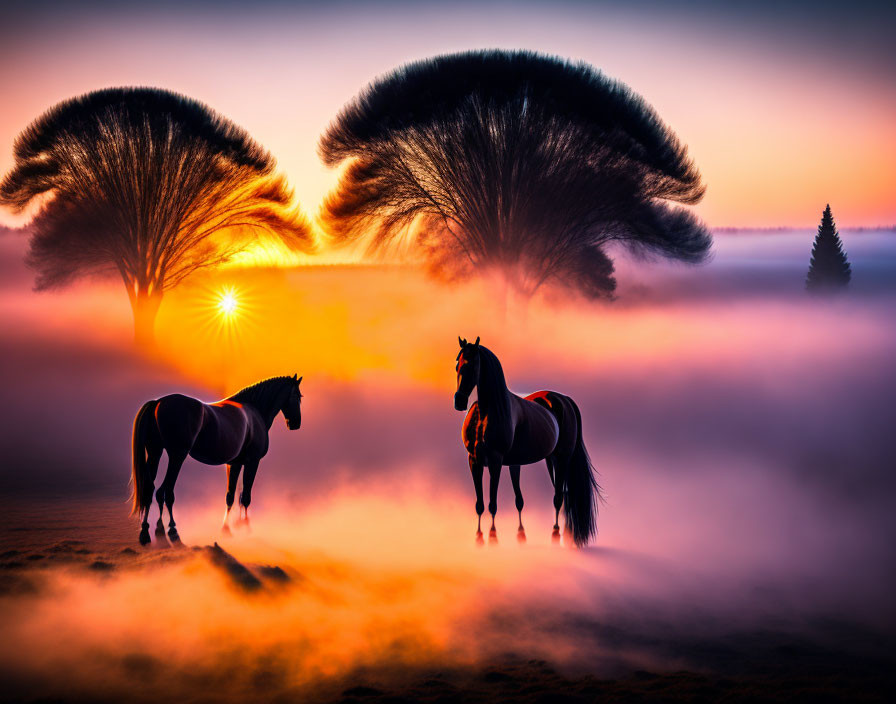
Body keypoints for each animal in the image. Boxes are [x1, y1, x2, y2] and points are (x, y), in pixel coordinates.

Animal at [130, 374, 302, 544]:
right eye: (297, 396)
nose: (296, 424)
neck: (254, 413)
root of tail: (158, 402)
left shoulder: (235, 464)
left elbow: (231, 496)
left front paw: (227, 529)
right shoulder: (252, 462)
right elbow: (246, 496)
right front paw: (246, 528)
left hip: (155, 453)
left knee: (150, 489)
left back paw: (147, 533)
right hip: (177, 456)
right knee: (165, 492)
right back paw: (170, 530)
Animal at [456, 338, 600, 548]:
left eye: (473, 365)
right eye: (456, 365)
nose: (458, 401)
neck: (487, 412)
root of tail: (564, 399)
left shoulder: (495, 461)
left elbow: (492, 504)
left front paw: (493, 537)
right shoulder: (474, 460)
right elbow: (482, 505)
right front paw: (480, 538)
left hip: (564, 458)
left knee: (559, 497)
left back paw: (556, 535)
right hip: (551, 459)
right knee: (561, 494)